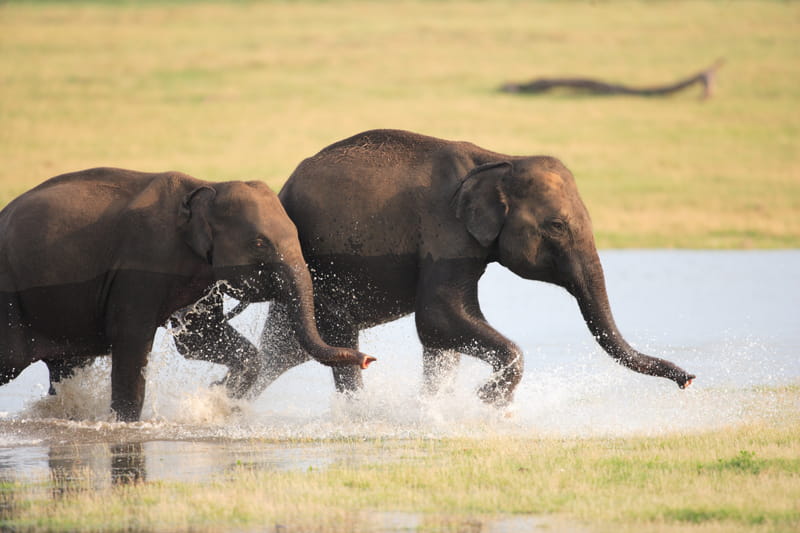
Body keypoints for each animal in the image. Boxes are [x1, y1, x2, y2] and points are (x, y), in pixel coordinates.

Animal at [0, 166, 376, 420]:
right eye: (259, 243)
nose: (369, 359)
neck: (206, 186)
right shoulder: (141, 266)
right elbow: (133, 342)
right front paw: (127, 424)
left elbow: (201, 337)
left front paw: (218, 398)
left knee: (67, 365)